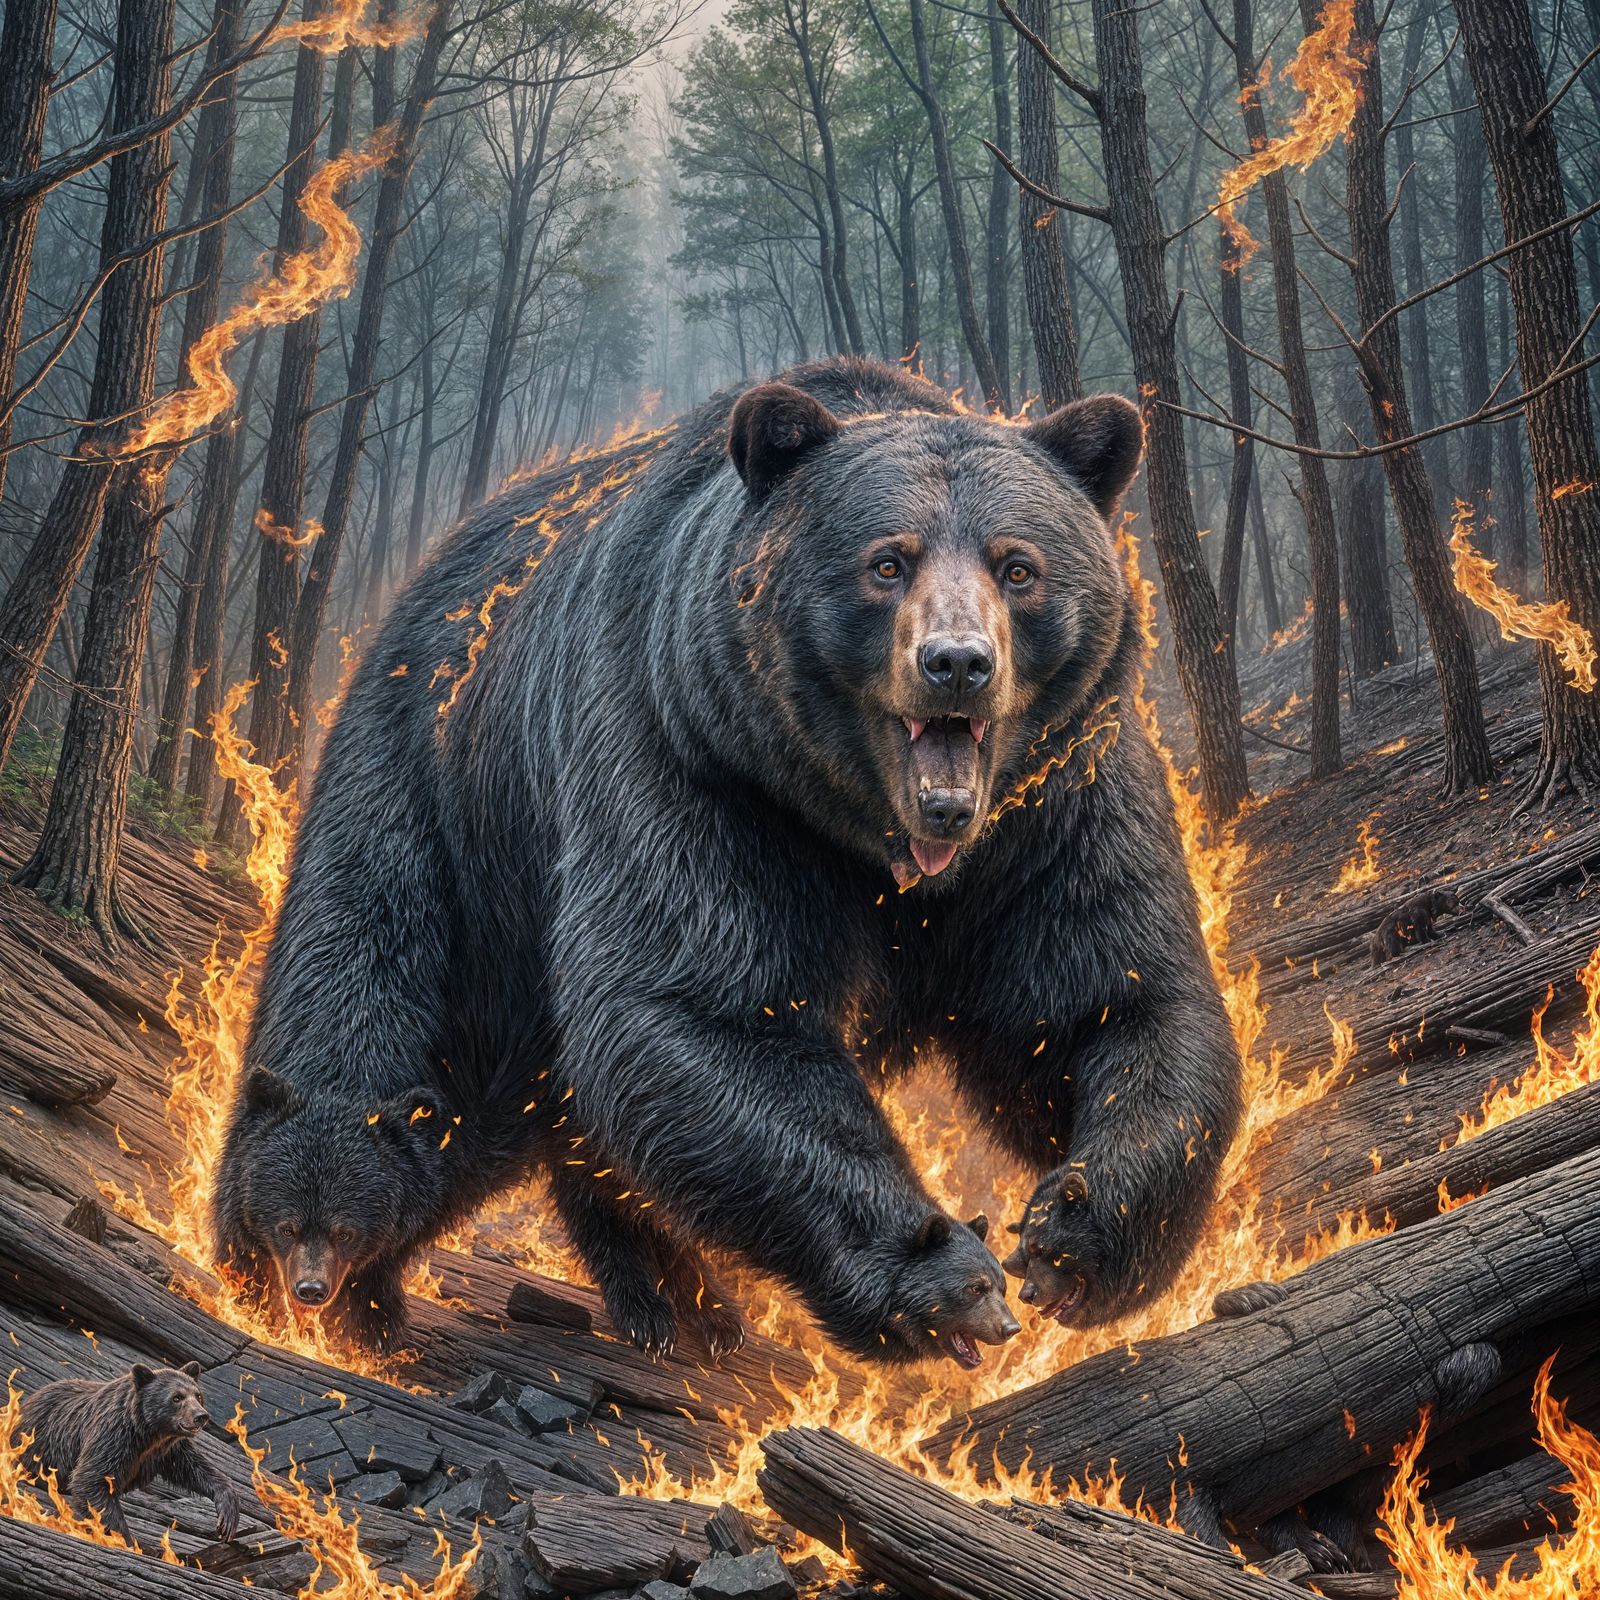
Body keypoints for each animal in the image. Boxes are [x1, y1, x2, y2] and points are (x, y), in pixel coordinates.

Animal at [15, 1362, 249, 1544]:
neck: (148, 1432)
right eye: (177, 1397)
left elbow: (195, 1469)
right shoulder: (113, 1437)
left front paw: (227, 1517)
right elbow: (91, 1481)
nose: (201, 1416)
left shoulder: (167, 1450)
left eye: (198, 1395)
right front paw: (125, 1540)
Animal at [212, 355, 1241, 1363]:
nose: (957, 663)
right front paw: (941, 1269)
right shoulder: (693, 761)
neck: (889, 844)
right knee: (388, 1018)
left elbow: (1104, 997)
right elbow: (706, 1009)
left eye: (1018, 566)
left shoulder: (1054, 804)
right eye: (887, 561)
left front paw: (1078, 1229)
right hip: (445, 802)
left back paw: (677, 1305)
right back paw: (283, 1264)